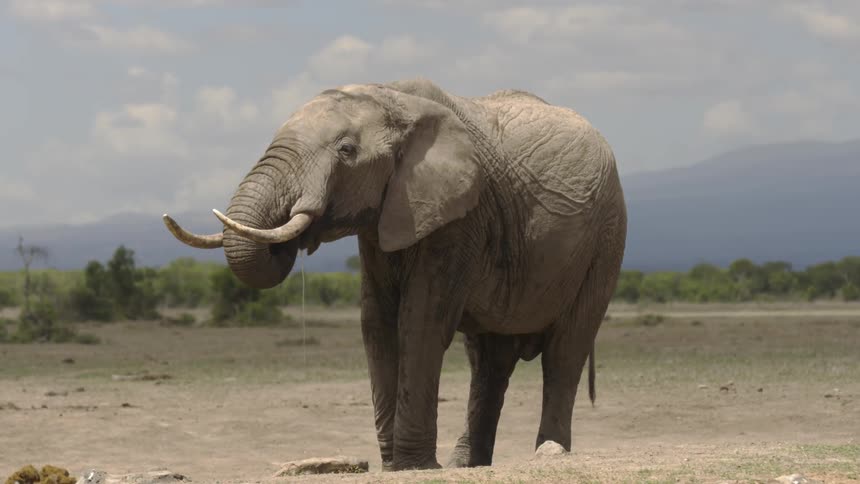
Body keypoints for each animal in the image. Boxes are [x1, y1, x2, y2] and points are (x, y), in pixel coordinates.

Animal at [163, 78, 627, 471]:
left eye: (346, 150)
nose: (291, 238)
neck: (392, 97)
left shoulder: (458, 217)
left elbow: (419, 323)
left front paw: (414, 466)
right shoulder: (384, 220)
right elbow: (377, 324)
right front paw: (394, 466)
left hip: (606, 237)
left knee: (566, 349)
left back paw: (549, 453)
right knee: (488, 361)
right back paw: (468, 464)